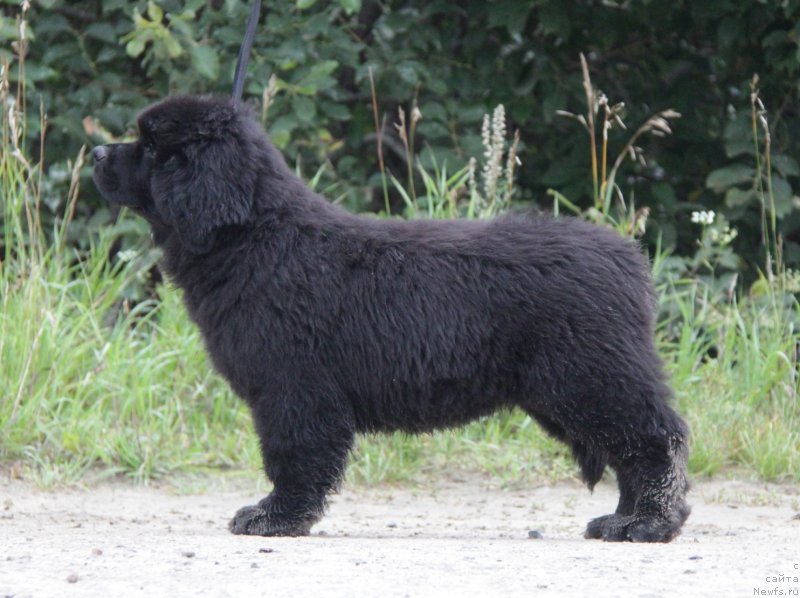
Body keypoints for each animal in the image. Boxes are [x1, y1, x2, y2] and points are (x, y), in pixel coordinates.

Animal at [92, 95, 688, 544]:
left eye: (151, 146)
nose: (96, 151)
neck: (253, 235)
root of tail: (628, 258)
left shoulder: (292, 388)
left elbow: (292, 456)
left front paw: (274, 518)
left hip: (592, 378)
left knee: (655, 441)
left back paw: (647, 523)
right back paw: (621, 520)